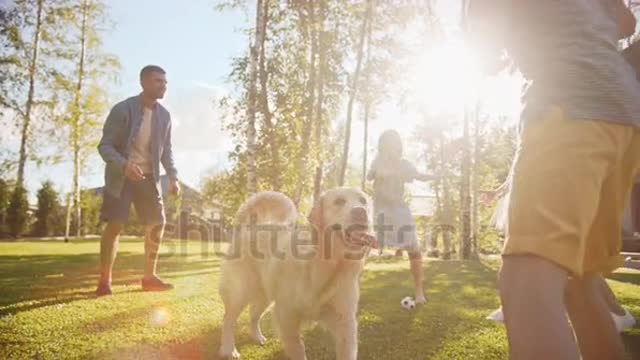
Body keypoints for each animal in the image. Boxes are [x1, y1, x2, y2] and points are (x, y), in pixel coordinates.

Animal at [218, 188, 378, 360]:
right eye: (339, 201)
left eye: (363, 201)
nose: (361, 211)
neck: (325, 264)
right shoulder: (287, 316)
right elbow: (298, 349)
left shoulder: (345, 322)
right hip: (240, 293)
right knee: (228, 320)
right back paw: (229, 350)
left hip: (264, 296)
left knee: (254, 315)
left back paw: (258, 337)